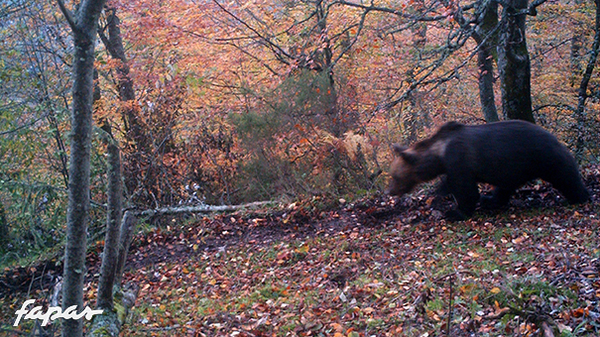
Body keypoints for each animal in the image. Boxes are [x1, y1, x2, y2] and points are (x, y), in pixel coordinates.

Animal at [386, 121, 588, 220]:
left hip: (544, 157)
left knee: (566, 176)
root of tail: (554, 136)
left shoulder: (459, 160)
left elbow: (466, 191)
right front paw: (440, 195)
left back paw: (582, 196)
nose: (389, 191)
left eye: (395, 176)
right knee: (505, 187)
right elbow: (450, 184)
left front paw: (454, 212)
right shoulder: (453, 167)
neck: (439, 154)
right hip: (515, 168)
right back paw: (491, 200)